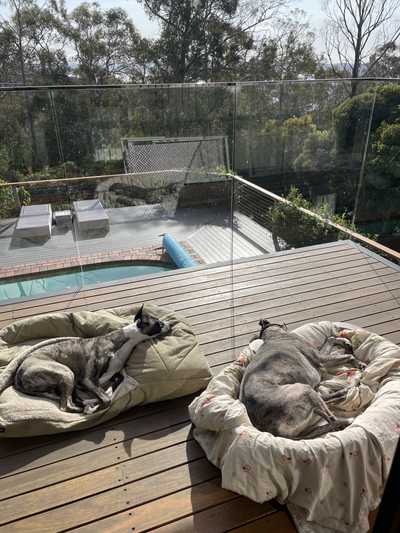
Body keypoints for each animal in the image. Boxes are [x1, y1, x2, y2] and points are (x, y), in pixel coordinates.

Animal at [0, 304, 169, 412]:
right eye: (159, 323)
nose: (170, 324)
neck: (123, 341)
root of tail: (18, 375)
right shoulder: (87, 379)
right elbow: (106, 398)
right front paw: (100, 401)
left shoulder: (114, 373)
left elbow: (116, 381)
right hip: (66, 373)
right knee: (66, 406)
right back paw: (87, 407)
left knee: (71, 400)